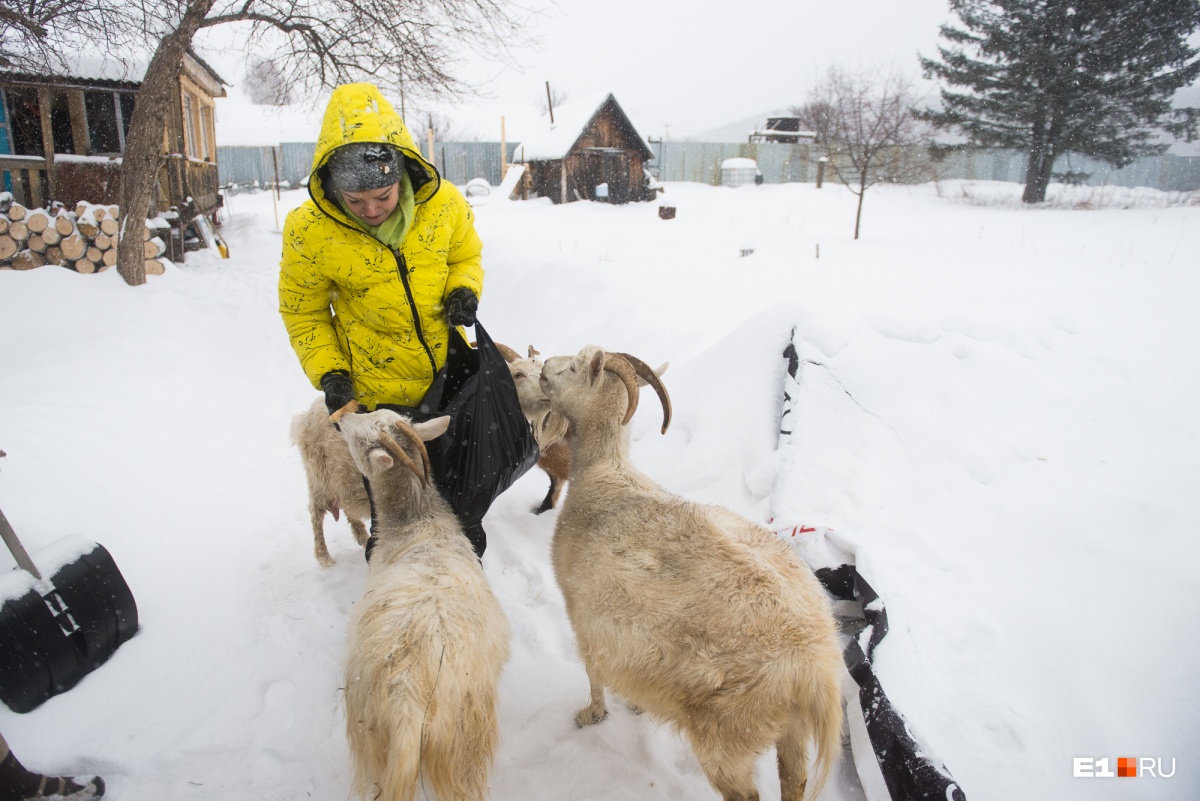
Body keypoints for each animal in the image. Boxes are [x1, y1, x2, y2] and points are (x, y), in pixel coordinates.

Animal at [288, 398, 367, 565]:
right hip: (319, 477)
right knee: (315, 512)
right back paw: (324, 558)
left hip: (341, 482)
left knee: (347, 504)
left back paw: (362, 537)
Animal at [542, 347, 844, 801]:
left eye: (576, 366)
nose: (543, 368)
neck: (603, 471)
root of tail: (817, 671)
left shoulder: (580, 613)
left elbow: (593, 673)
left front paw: (591, 714)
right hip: (790, 731)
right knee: (794, 782)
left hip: (730, 733)